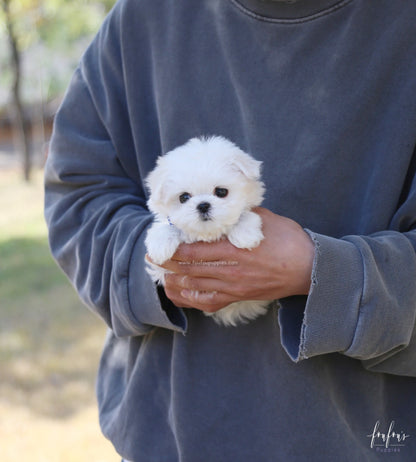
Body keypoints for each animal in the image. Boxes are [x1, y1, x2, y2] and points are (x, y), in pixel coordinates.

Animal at [145, 135, 272, 326]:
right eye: (184, 197)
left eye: (221, 192)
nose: (203, 205)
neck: (207, 234)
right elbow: (166, 227)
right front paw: (160, 247)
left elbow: (244, 215)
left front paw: (245, 235)